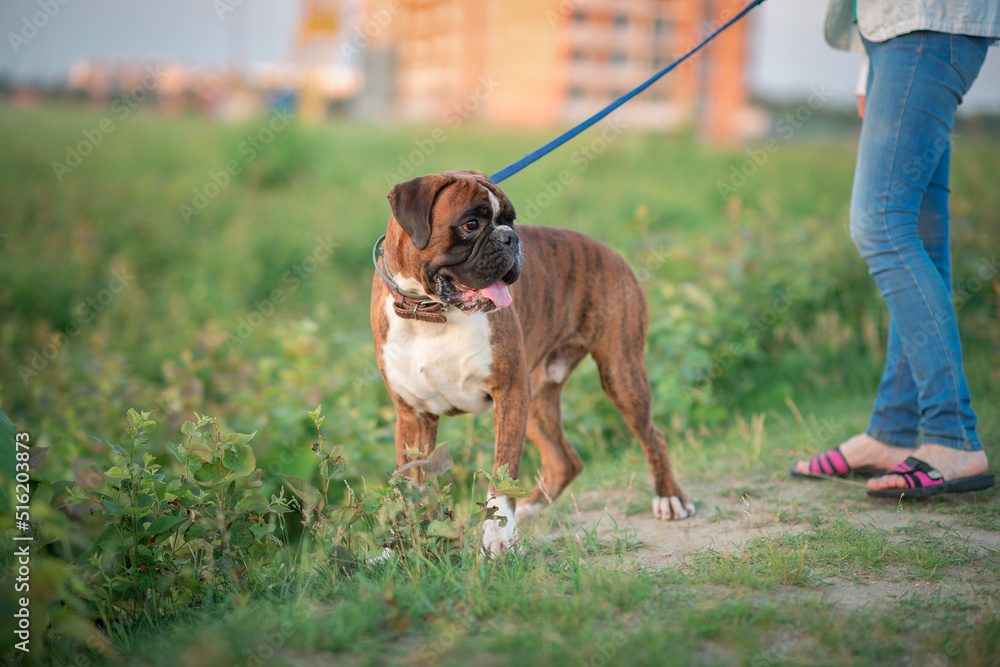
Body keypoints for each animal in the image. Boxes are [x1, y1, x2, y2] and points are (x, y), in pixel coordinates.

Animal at [372, 170, 692, 556]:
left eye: (511, 220)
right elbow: (410, 488)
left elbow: (502, 472)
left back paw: (669, 498)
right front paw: (398, 550)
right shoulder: (413, 417)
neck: (431, 315)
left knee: (652, 436)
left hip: (620, 374)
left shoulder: (509, 393)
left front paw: (498, 536)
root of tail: (608, 250)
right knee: (564, 461)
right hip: (537, 398)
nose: (511, 238)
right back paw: (529, 509)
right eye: (470, 224)